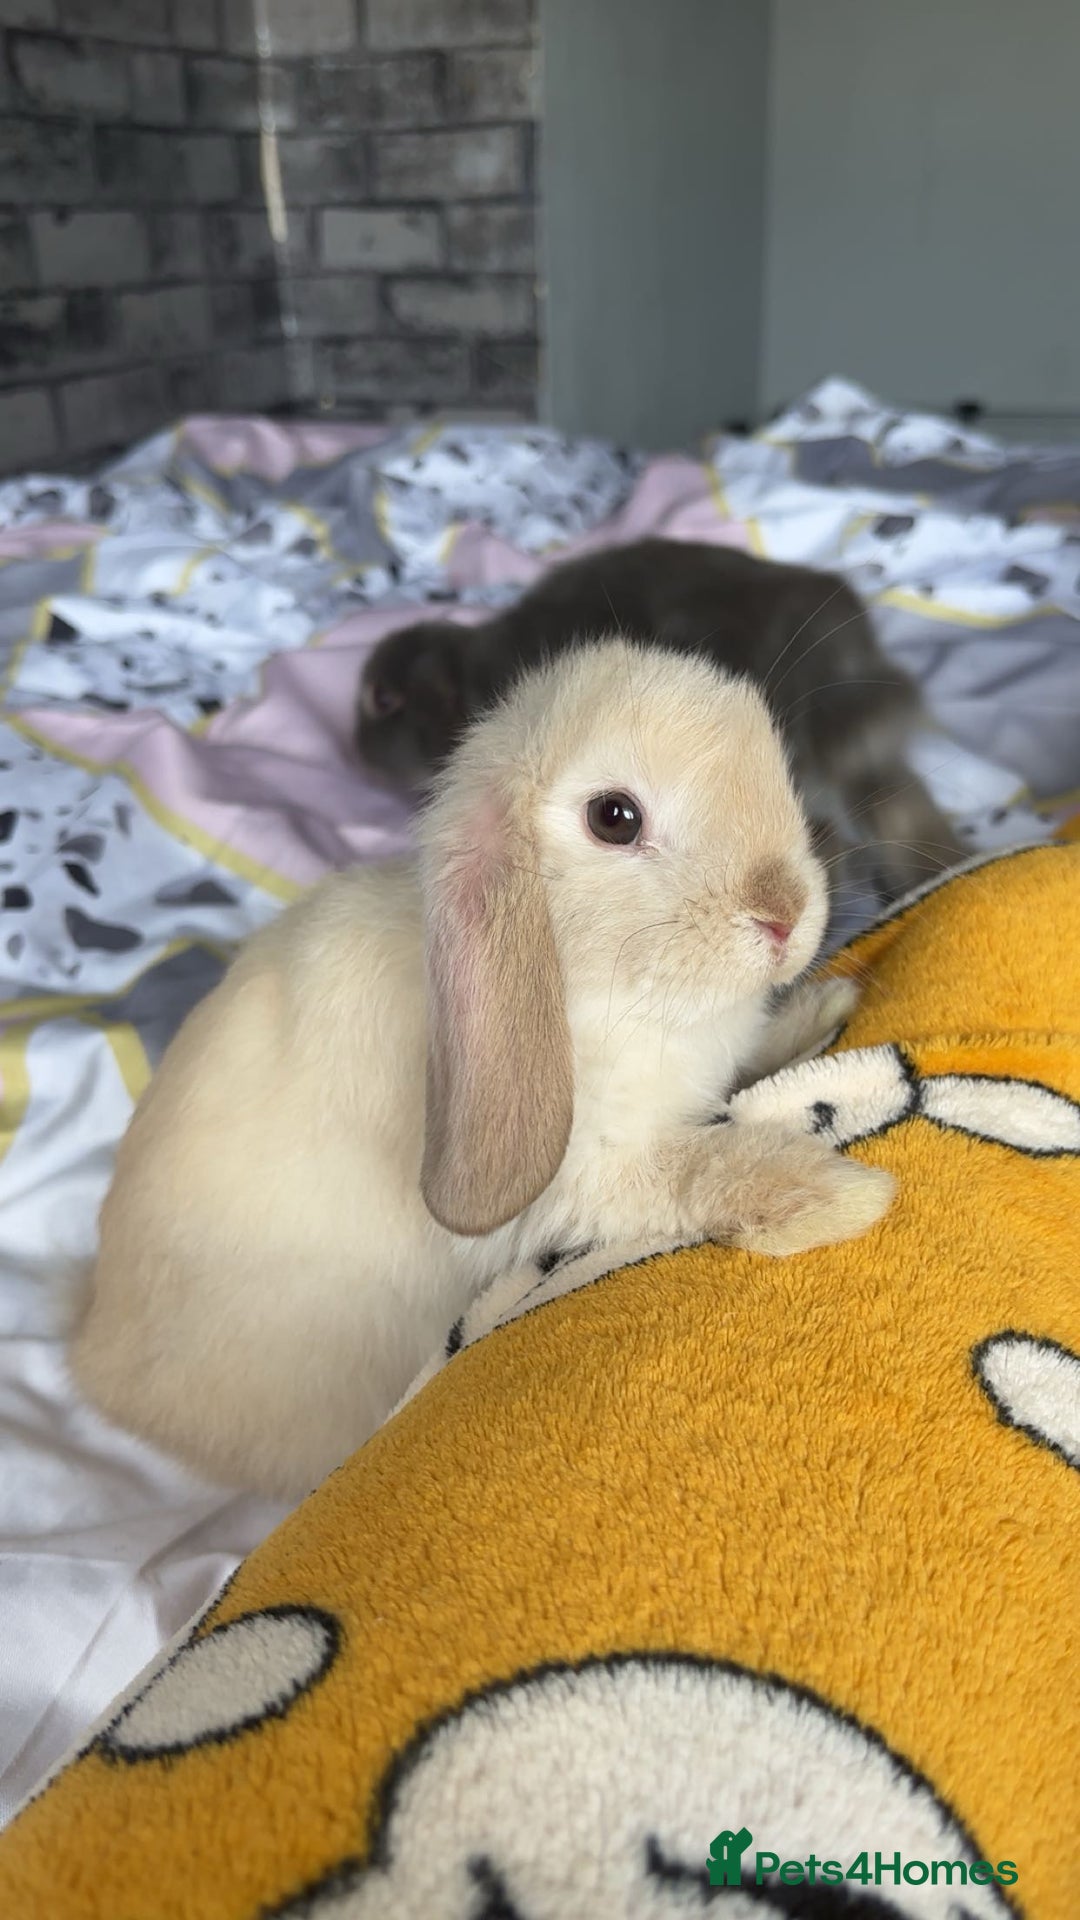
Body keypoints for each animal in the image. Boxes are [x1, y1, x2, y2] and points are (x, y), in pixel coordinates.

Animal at [71, 640, 894, 1501]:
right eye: (614, 818)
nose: (786, 915)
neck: (591, 985)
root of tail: (95, 1351)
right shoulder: (584, 1179)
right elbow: (697, 1169)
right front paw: (838, 1198)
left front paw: (820, 1011)